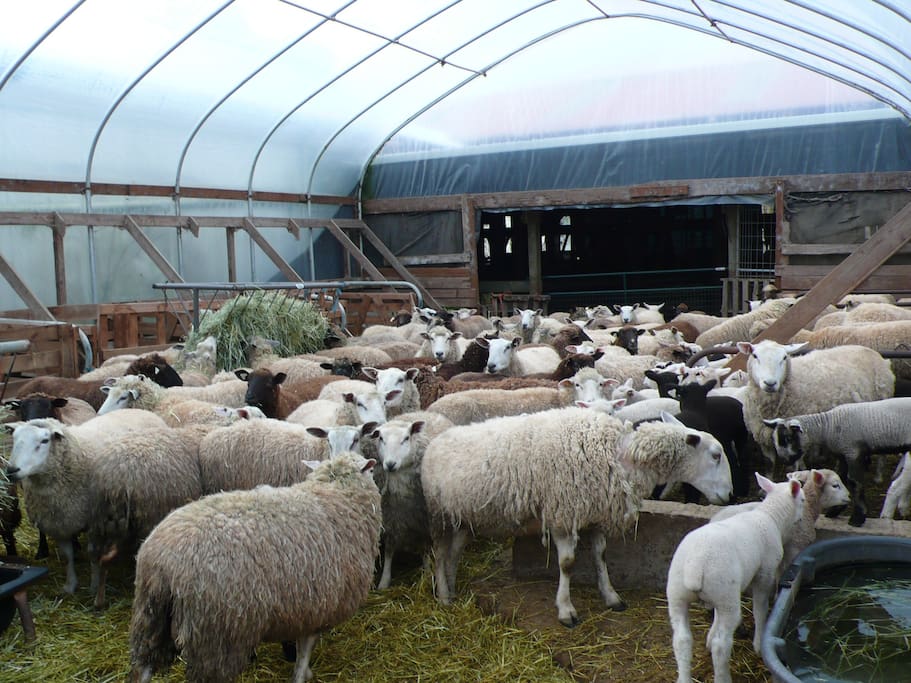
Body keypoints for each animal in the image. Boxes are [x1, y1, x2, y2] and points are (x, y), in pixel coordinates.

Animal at [129, 454, 382, 683]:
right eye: (370, 470)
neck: (337, 495)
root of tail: (161, 561)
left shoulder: (305, 606)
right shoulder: (321, 604)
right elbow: (305, 649)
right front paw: (302, 675)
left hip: (150, 617)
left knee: (141, 669)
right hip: (216, 635)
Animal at [664, 472, 804, 683]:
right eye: (803, 499)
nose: (803, 517)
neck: (770, 515)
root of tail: (695, 565)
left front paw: (710, 634)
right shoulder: (765, 574)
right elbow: (759, 609)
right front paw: (758, 642)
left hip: (679, 593)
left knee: (681, 640)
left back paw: (684, 677)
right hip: (725, 596)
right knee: (721, 646)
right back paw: (723, 676)